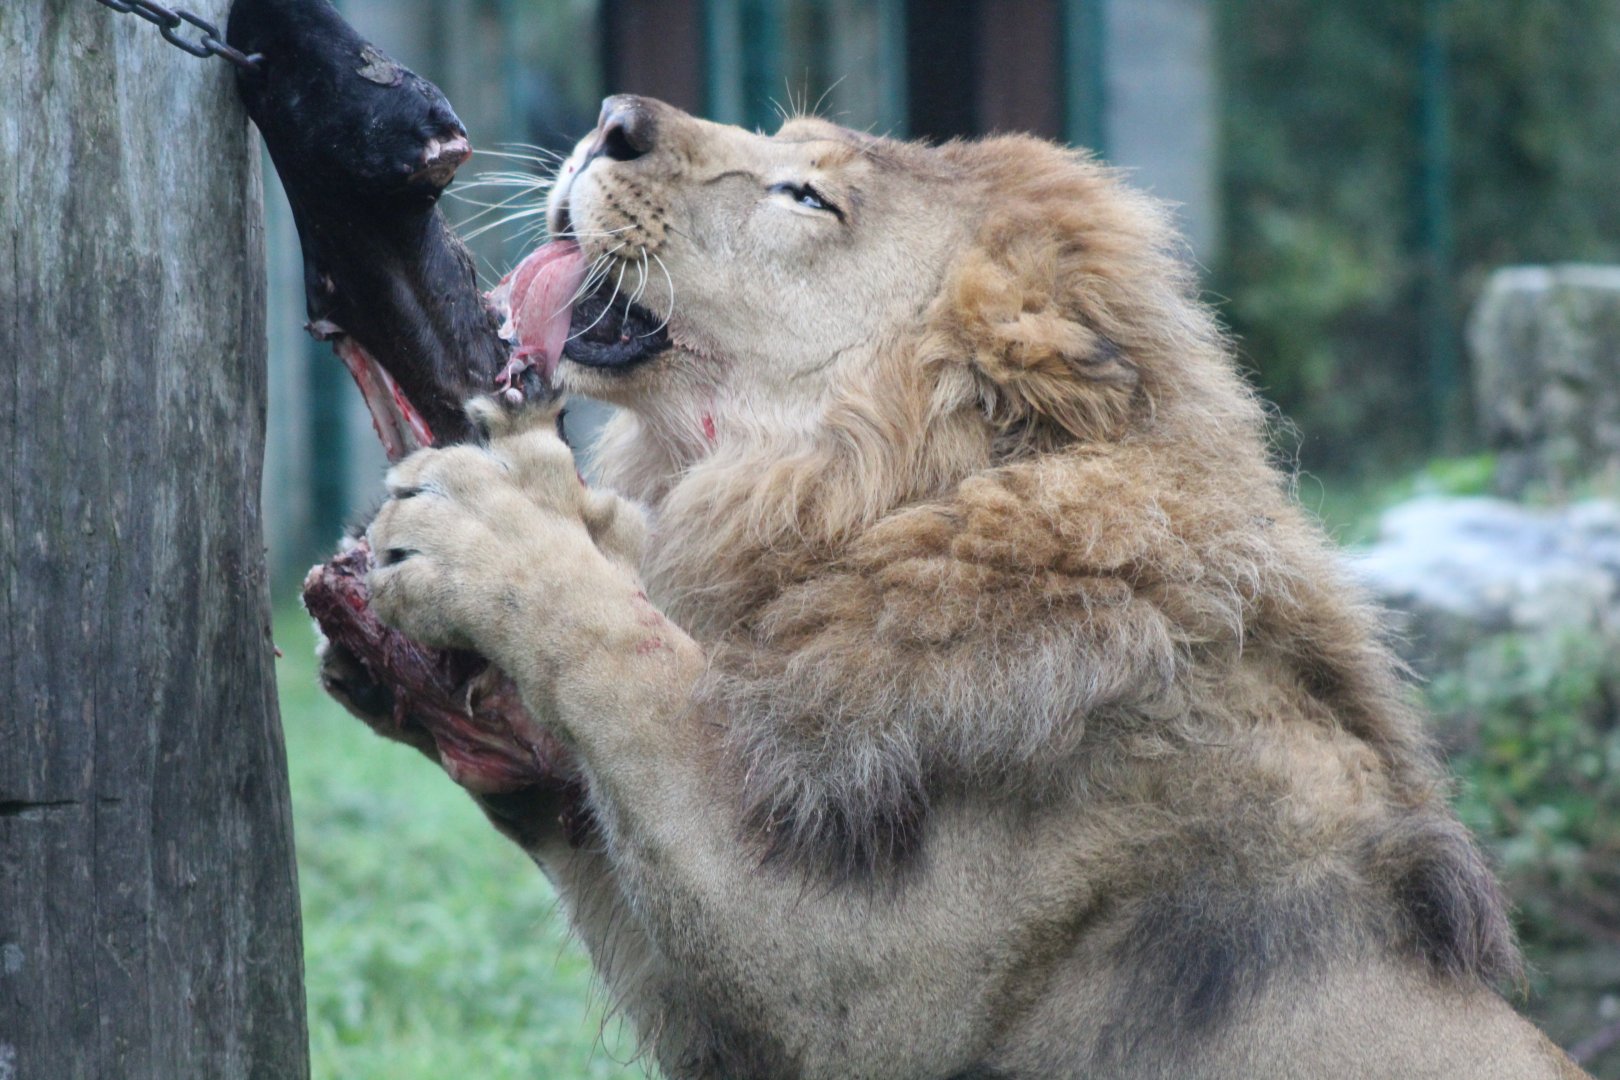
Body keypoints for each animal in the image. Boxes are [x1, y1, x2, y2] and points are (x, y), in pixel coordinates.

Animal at [355, 95, 1589, 1078]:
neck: (876, 516)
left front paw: (502, 525)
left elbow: (631, 674)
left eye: (808, 195)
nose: (615, 118)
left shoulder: (860, 993)